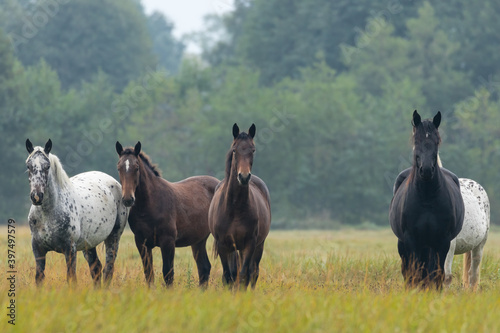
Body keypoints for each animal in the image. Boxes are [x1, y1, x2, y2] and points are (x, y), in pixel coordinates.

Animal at [25, 138, 128, 286]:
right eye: (29, 166)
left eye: (47, 166)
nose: (37, 196)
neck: (48, 215)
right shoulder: (38, 249)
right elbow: (39, 277)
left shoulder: (70, 249)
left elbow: (71, 278)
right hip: (89, 244)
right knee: (96, 268)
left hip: (113, 238)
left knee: (108, 269)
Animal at [116, 140, 220, 286]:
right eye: (119, 167)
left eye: (136, 167)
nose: (128, 199)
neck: (149, 204)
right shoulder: (141, 243)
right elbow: (149, 274)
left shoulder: (168, 242)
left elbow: (168, 274)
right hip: (198, 240)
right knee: (204, 268)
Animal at [210, 122, 276, 288]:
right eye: (235, 150)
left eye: (253, 150)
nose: (244, 176)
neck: (235, 208)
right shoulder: (223, 245)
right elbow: (228, 275)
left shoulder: (249, 244)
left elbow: (244, 275)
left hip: (258, 246)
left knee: (253, 272)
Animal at [390, 111, 464, 288]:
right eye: (416, 140)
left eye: (437, 141)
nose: (426, 170)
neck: (427, 197)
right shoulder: (411, 239)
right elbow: (415, 273)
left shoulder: (442, 240)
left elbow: (436, 274)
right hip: (404, 244)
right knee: (408, 271)